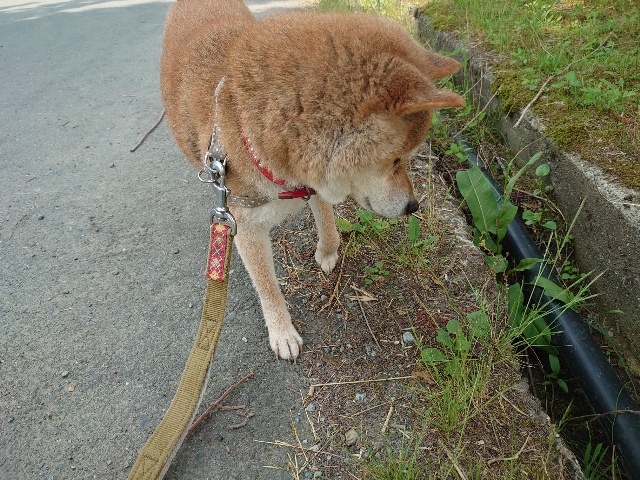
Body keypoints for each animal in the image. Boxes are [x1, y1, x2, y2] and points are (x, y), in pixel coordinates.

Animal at [160, 0, 465, 360]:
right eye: (396, 159)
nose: (413, 207)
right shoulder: (244, 226)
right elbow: (268, 287)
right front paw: (282, 332)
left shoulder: (314, 183)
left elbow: (330, 228)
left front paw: (327, 254)